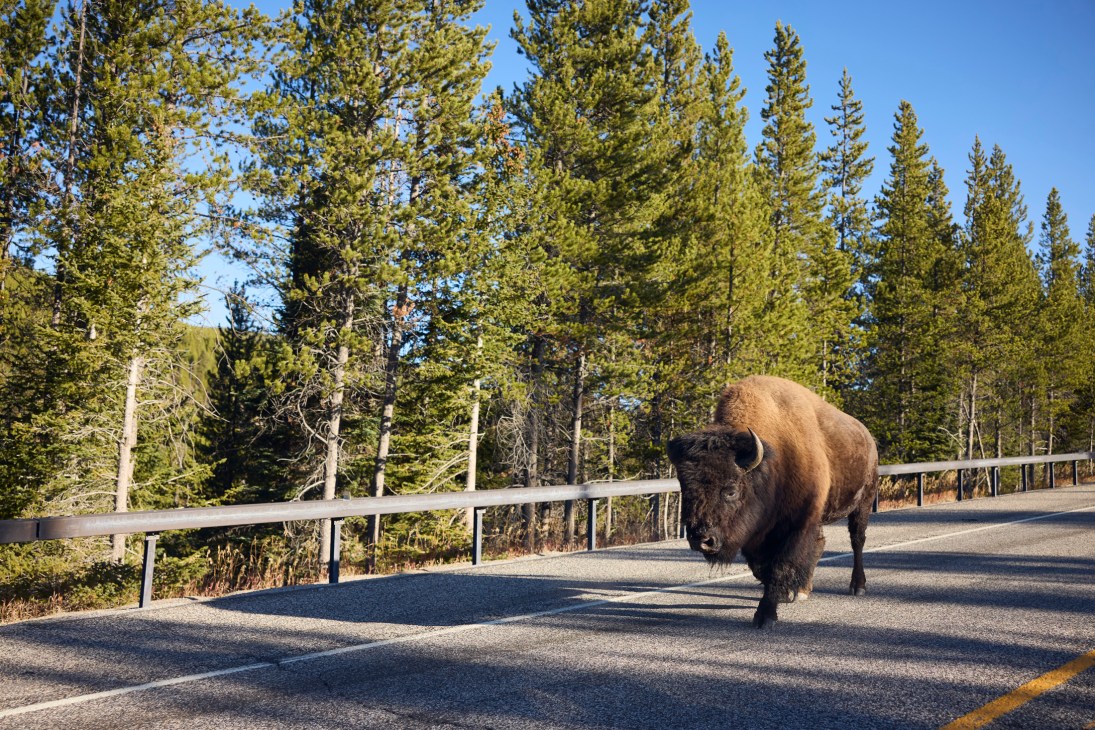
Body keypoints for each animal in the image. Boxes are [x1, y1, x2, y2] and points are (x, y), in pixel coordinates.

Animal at [667, 375, 879, 629]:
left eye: (731, 491)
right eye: (685, 488)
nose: (702, 540)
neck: (774, 463)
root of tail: (867, 436)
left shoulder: (797, 524)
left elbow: (779, 565)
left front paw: (766, 615)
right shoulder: (756, 532)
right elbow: (761, 568)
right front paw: (786, 594)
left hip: (863, 501)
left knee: (857, 540)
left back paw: (858, 586)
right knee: (820, 543)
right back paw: (803, 589)